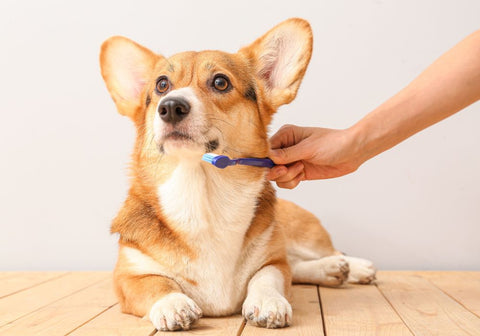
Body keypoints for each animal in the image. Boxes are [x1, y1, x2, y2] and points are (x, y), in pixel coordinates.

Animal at [100, 17, 376, 330]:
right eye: (162, 85)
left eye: (221, 82)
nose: (170, 106)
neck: (202, 195)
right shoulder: (127, 276)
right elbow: (157, 284)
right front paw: (174, 305)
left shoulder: (272, 262)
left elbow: (266, 277)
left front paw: (268, 302)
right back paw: (331, 270)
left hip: (305, 236)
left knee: (319, 255)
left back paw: (354, 266)